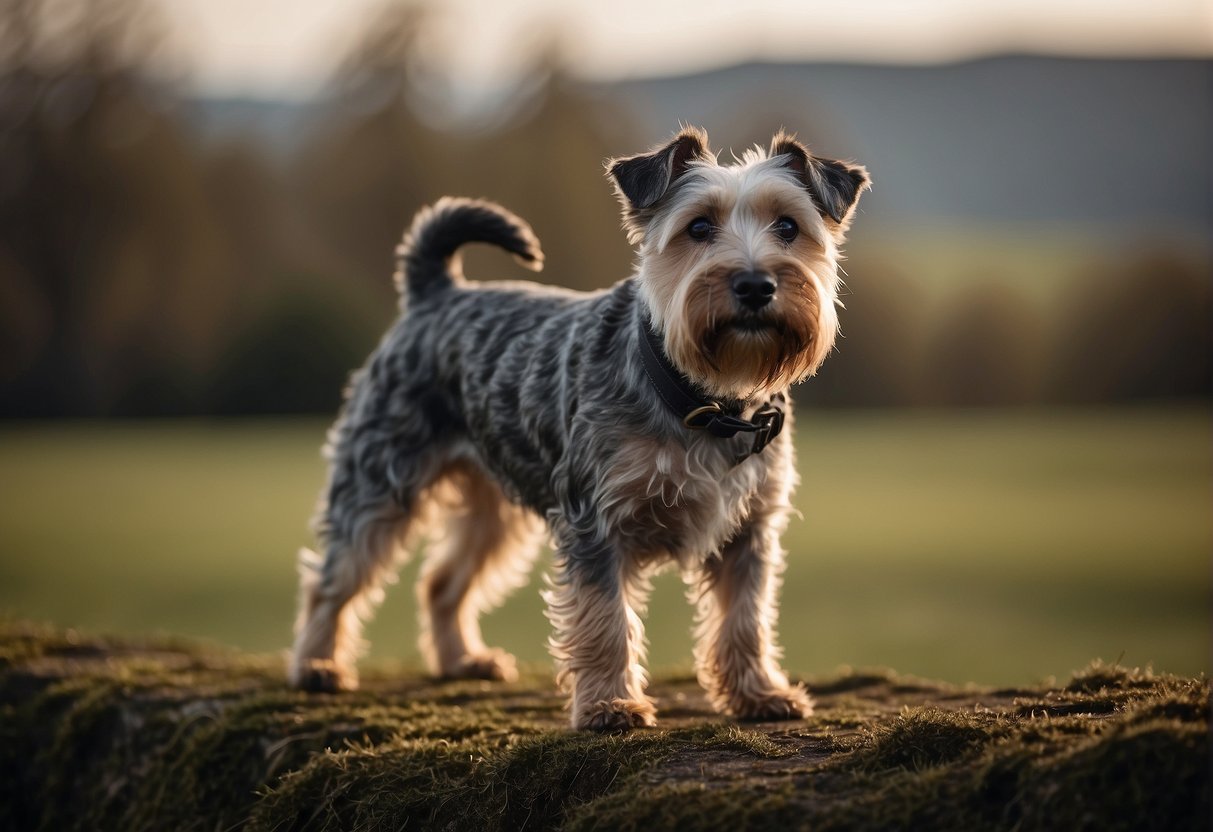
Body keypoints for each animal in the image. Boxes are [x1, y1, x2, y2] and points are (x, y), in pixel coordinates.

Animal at [288, 127, 868, 732]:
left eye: (789, 227)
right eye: (698, 227)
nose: (755, 284)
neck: (706, 396)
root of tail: (436, 294)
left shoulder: (749, 531)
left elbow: (746, 619)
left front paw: (759, 693)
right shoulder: (596, 519)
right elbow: (605, 618)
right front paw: (610, 704)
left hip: (493, 508)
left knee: (441, 582)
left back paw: (462, 660)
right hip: (380, 476)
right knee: (334, 575)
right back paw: (318, 666)